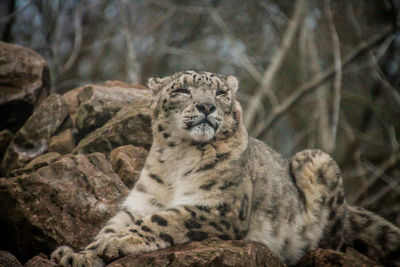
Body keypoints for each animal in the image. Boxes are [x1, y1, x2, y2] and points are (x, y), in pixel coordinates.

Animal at [50, 70, 400, 266]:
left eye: (220, 92)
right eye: (183, 90)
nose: (207, 106)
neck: (178, 158)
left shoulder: (221, 206)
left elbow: (165, 218)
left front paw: (117, 243)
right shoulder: (139, 204)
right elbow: (110, 226)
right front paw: (77, 254)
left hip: (316, 160)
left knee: (336, 239)